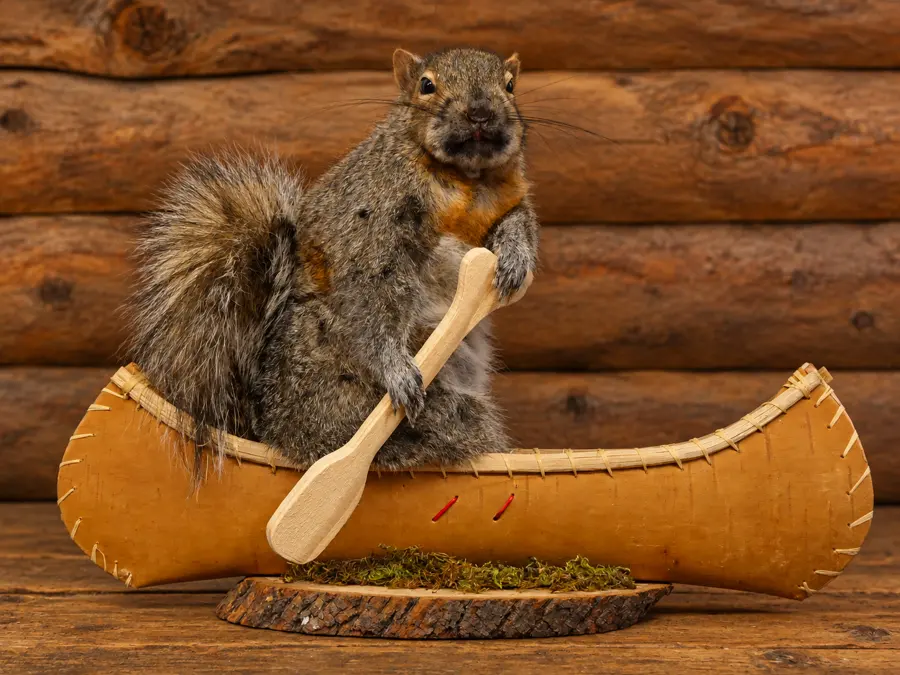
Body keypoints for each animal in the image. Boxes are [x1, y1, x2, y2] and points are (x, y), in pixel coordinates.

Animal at [127, 47, 539, 475]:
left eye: (510, 85)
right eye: (427, 85)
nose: (480, 112)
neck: (466, 179)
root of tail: (273, 430)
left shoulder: (505, 205)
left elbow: (518, 222)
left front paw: (515, 259)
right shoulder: (368, 224)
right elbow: (370, 296)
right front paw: (396, 371)